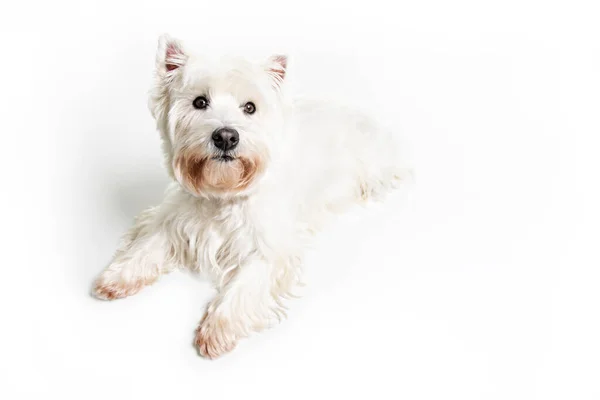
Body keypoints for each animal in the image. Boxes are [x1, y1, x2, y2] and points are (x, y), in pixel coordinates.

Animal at [91, 34, 408, 360]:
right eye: (199, 102)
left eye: (250, 107)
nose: (226, 136)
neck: (223, 192)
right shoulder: (176, 217)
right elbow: (149, 243)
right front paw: (119, 275)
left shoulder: (271, 248)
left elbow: (246, 284)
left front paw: (218, 327)